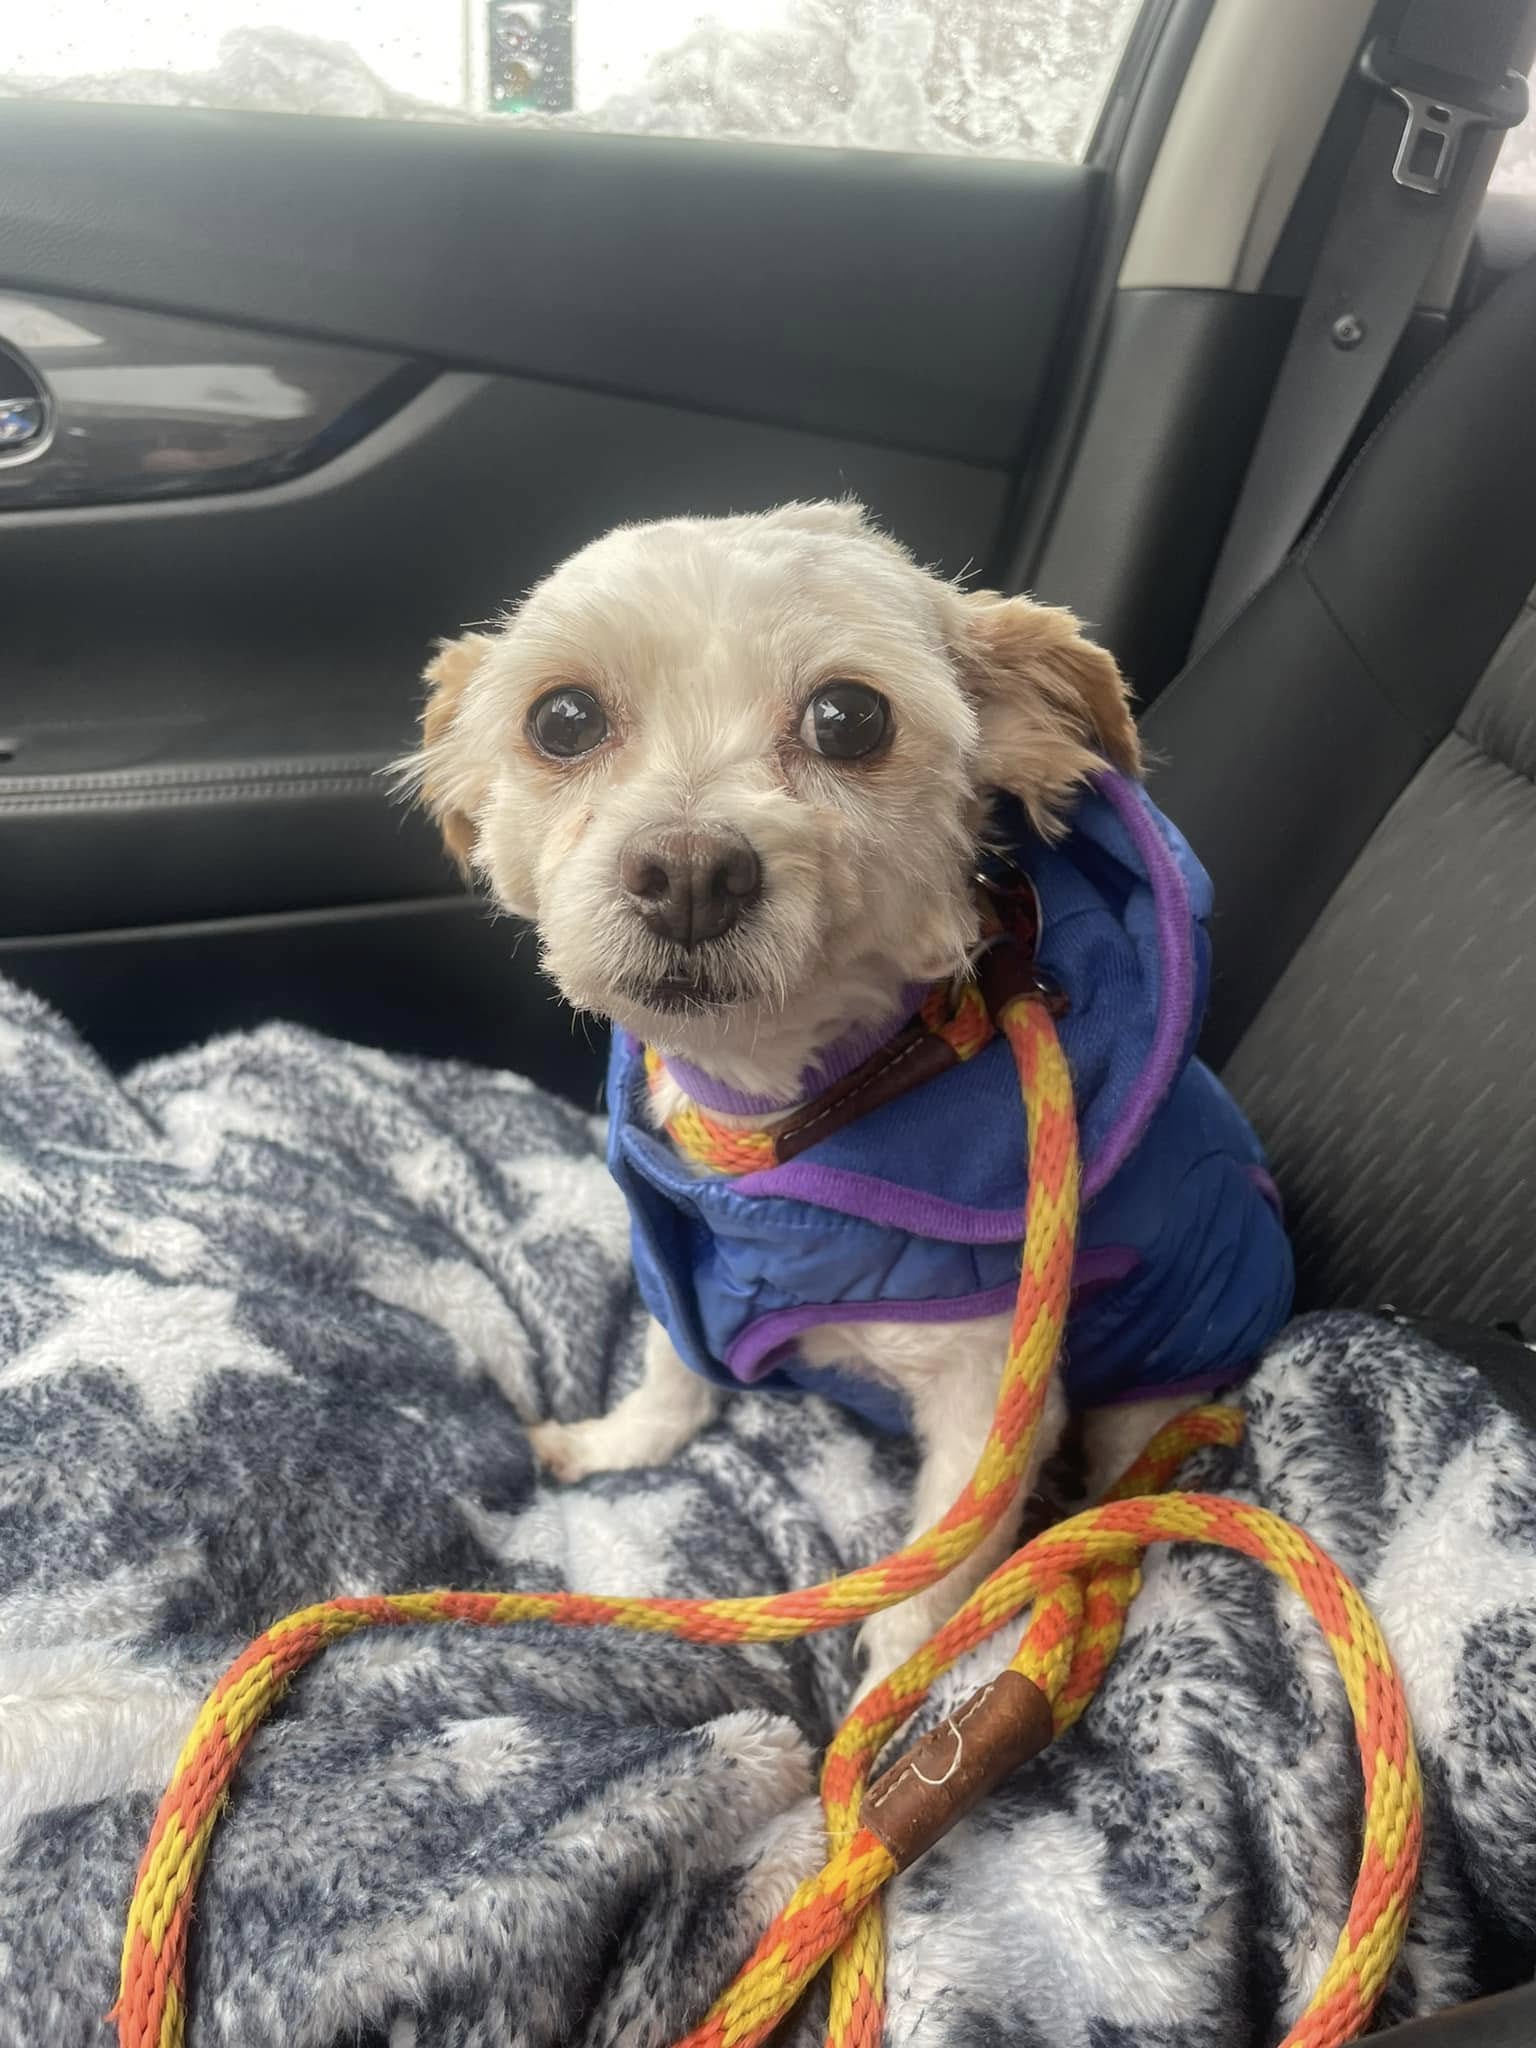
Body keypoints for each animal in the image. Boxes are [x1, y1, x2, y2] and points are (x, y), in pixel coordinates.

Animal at [403, 503, 1294, 1687]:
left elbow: (927, 1595)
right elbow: (672, 1376)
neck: (786, 1116)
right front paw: (613, 1443)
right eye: (563, 717)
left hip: (1162, 1375)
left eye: (850, 716)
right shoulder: (686, 1265)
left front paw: (896, 1702)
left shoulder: (988, 1401)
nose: (690, 871)